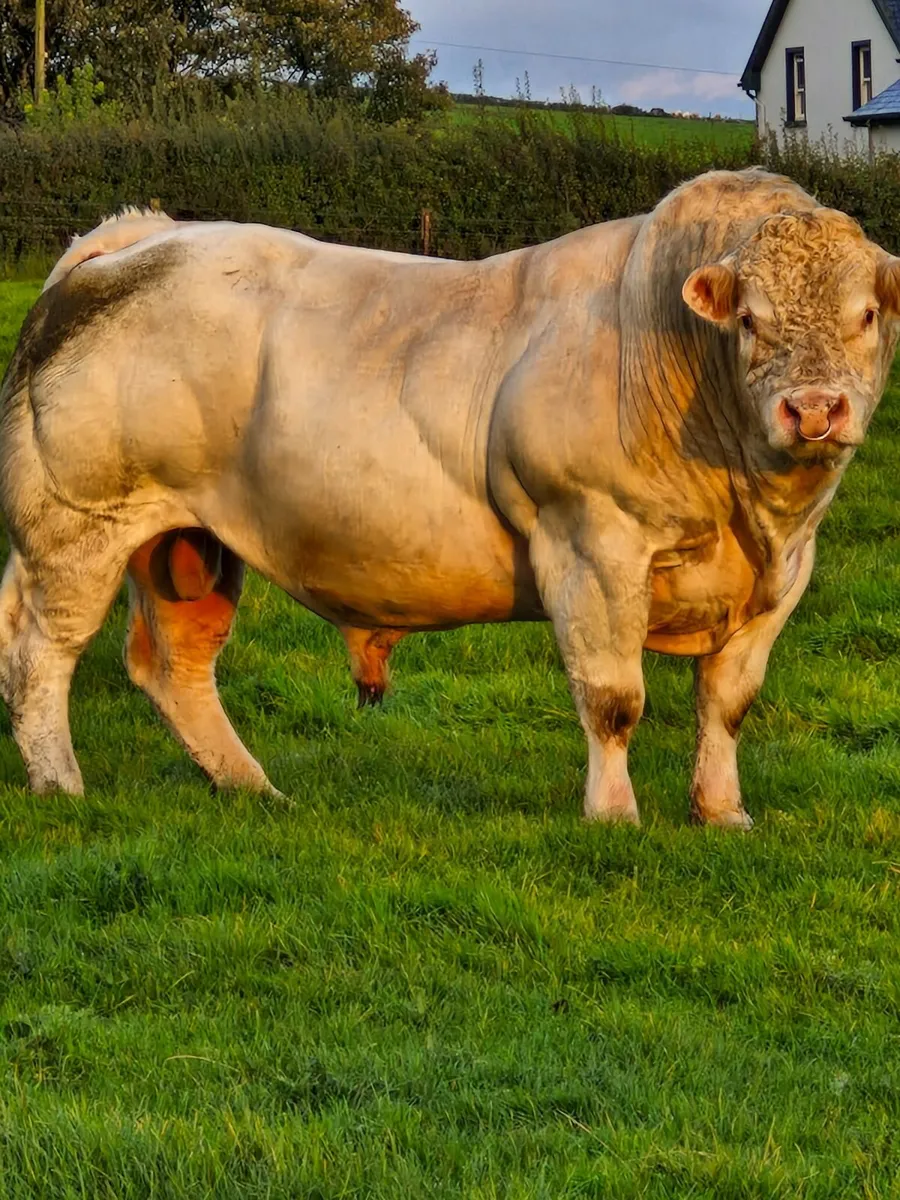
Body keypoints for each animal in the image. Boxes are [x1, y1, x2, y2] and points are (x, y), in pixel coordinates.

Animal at [0, 167, 897, 827]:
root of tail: (143, 234)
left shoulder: (784, 576)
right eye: (749, 319)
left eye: (865, 315)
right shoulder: (593, 543)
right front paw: (614, 817)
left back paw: (253, 788)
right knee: (41, 651)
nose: (814, 409)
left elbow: (728, 703)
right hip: (76, 525)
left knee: (174, 666)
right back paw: (61, 784)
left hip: (186, 542)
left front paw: (722, 814)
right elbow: (613, 699)